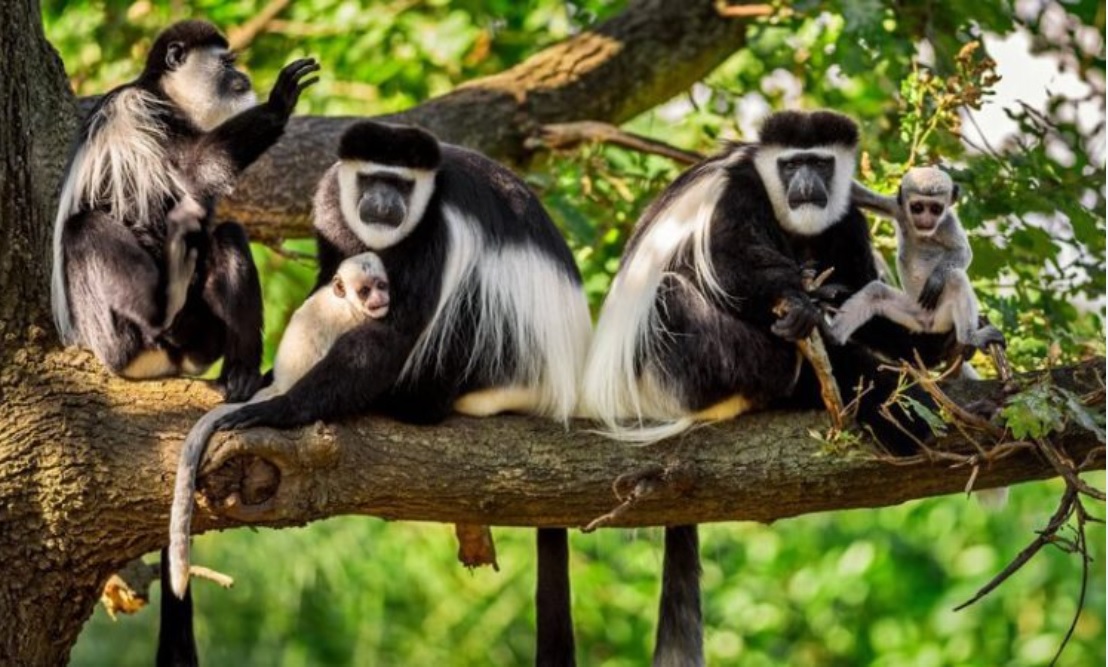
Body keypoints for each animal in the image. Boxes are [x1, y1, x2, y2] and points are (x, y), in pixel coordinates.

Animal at [51, 19, 319, 402]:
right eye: (227, 62)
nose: (243, 76)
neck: (166, 94)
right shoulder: (143, 112)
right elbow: (195, 168)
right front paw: (279, 103)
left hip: (201, 335)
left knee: (227, 236)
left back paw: (240, 376)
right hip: (110, 333)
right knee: (85, 228)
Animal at [167, 252, 390, 599]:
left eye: (381, 285)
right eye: (365, 290)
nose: (379, 299)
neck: (344, 302)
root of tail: (280, 386)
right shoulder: (353, 320)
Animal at [581, 110, 952, 666]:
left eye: (821, 163)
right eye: (791, 164)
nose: (806, 186)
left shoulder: (845, 219)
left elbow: (861, 286)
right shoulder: (737, 194)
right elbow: (730, 262)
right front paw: (801, 305)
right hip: (678, 369)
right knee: (675, 293)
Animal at [833, 167, 1006, 352]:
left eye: (936, 209)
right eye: (917, 207)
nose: (926, 219)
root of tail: (927, 323)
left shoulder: (948, 222)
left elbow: (963, 251)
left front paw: (936, 279)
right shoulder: (897, 207)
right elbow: (856, 194)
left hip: (942, 316)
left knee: (956, 277)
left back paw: (969, 337)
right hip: (912, 312)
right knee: (875, 293)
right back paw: (831, 335)